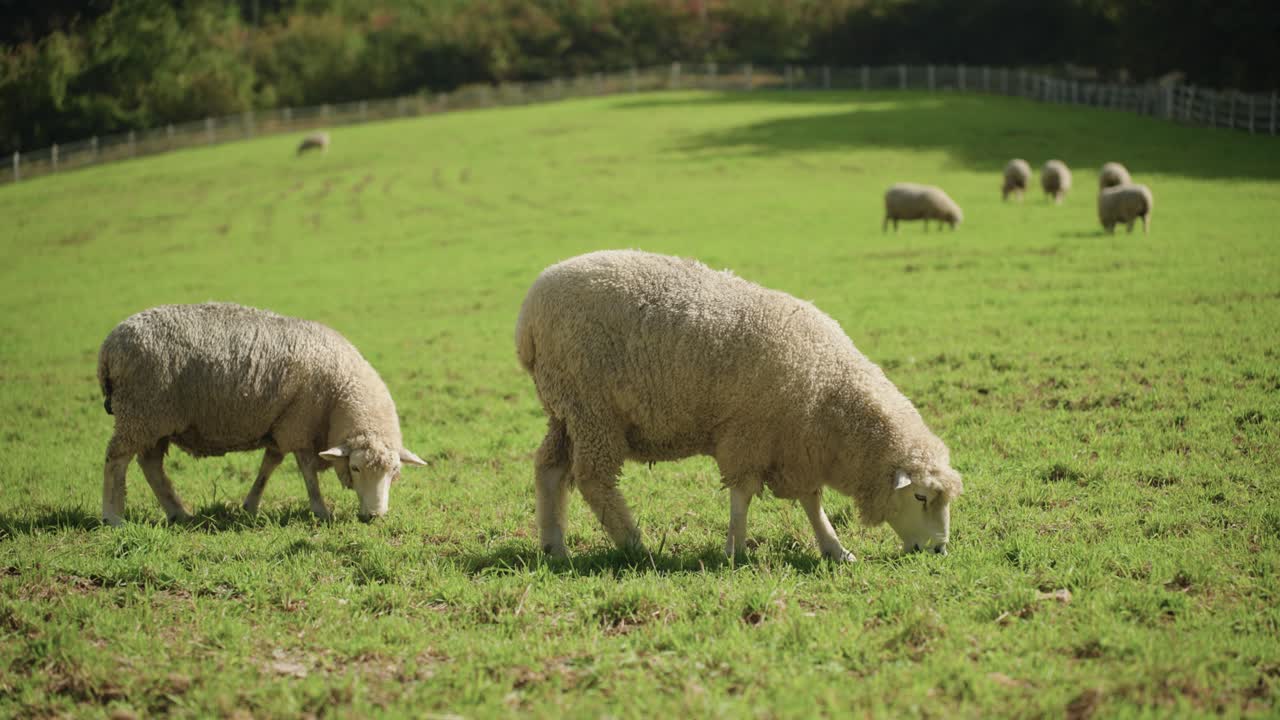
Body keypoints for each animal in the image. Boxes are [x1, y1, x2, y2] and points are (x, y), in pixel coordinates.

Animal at [97, 302, 426, 526]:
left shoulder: (282, 423)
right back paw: (113, 517)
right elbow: (307, 472)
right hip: (140, 410)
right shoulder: (299, 425)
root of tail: (108, 347)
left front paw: (250, 506)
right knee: (117, 459)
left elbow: (269, 466)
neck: (340, 392)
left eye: (394, 472)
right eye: (356, 468)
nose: (375, 516)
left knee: (151, 465)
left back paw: (179, 513)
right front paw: (321, 511)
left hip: (155, 418)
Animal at [515, 250, 963, 562]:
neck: (830, 390)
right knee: (593, 479)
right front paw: (735, 550)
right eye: (920, 497)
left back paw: (555, 548)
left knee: (550, 470)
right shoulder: (748, 434)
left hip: (565, 410)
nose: (939, 550)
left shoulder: (796, 445)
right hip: (592, 408)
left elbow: (811, 502)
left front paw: (835, 550)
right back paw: (634, 544)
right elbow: (742, 495)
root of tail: (527, 318)